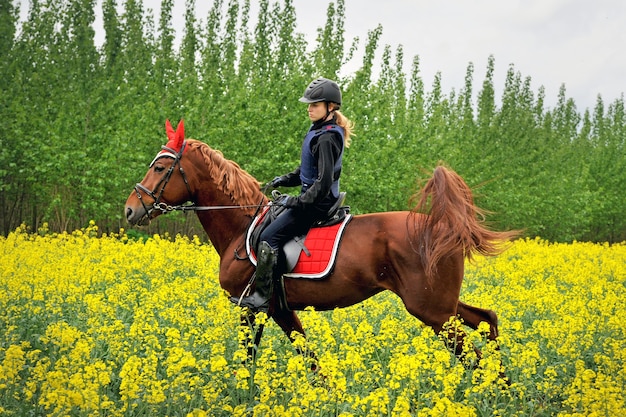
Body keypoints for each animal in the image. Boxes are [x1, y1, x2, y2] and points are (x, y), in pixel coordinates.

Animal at [123, 119, 516, 370]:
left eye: (159, 168)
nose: (130, 210)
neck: (241, 224)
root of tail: (442, 225)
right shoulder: (276, 309)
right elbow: (307, 359)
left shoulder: (255, 307)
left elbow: (253, 358)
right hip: (441, 306)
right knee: (487, 319)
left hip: (431, 310)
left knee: (473, 355)